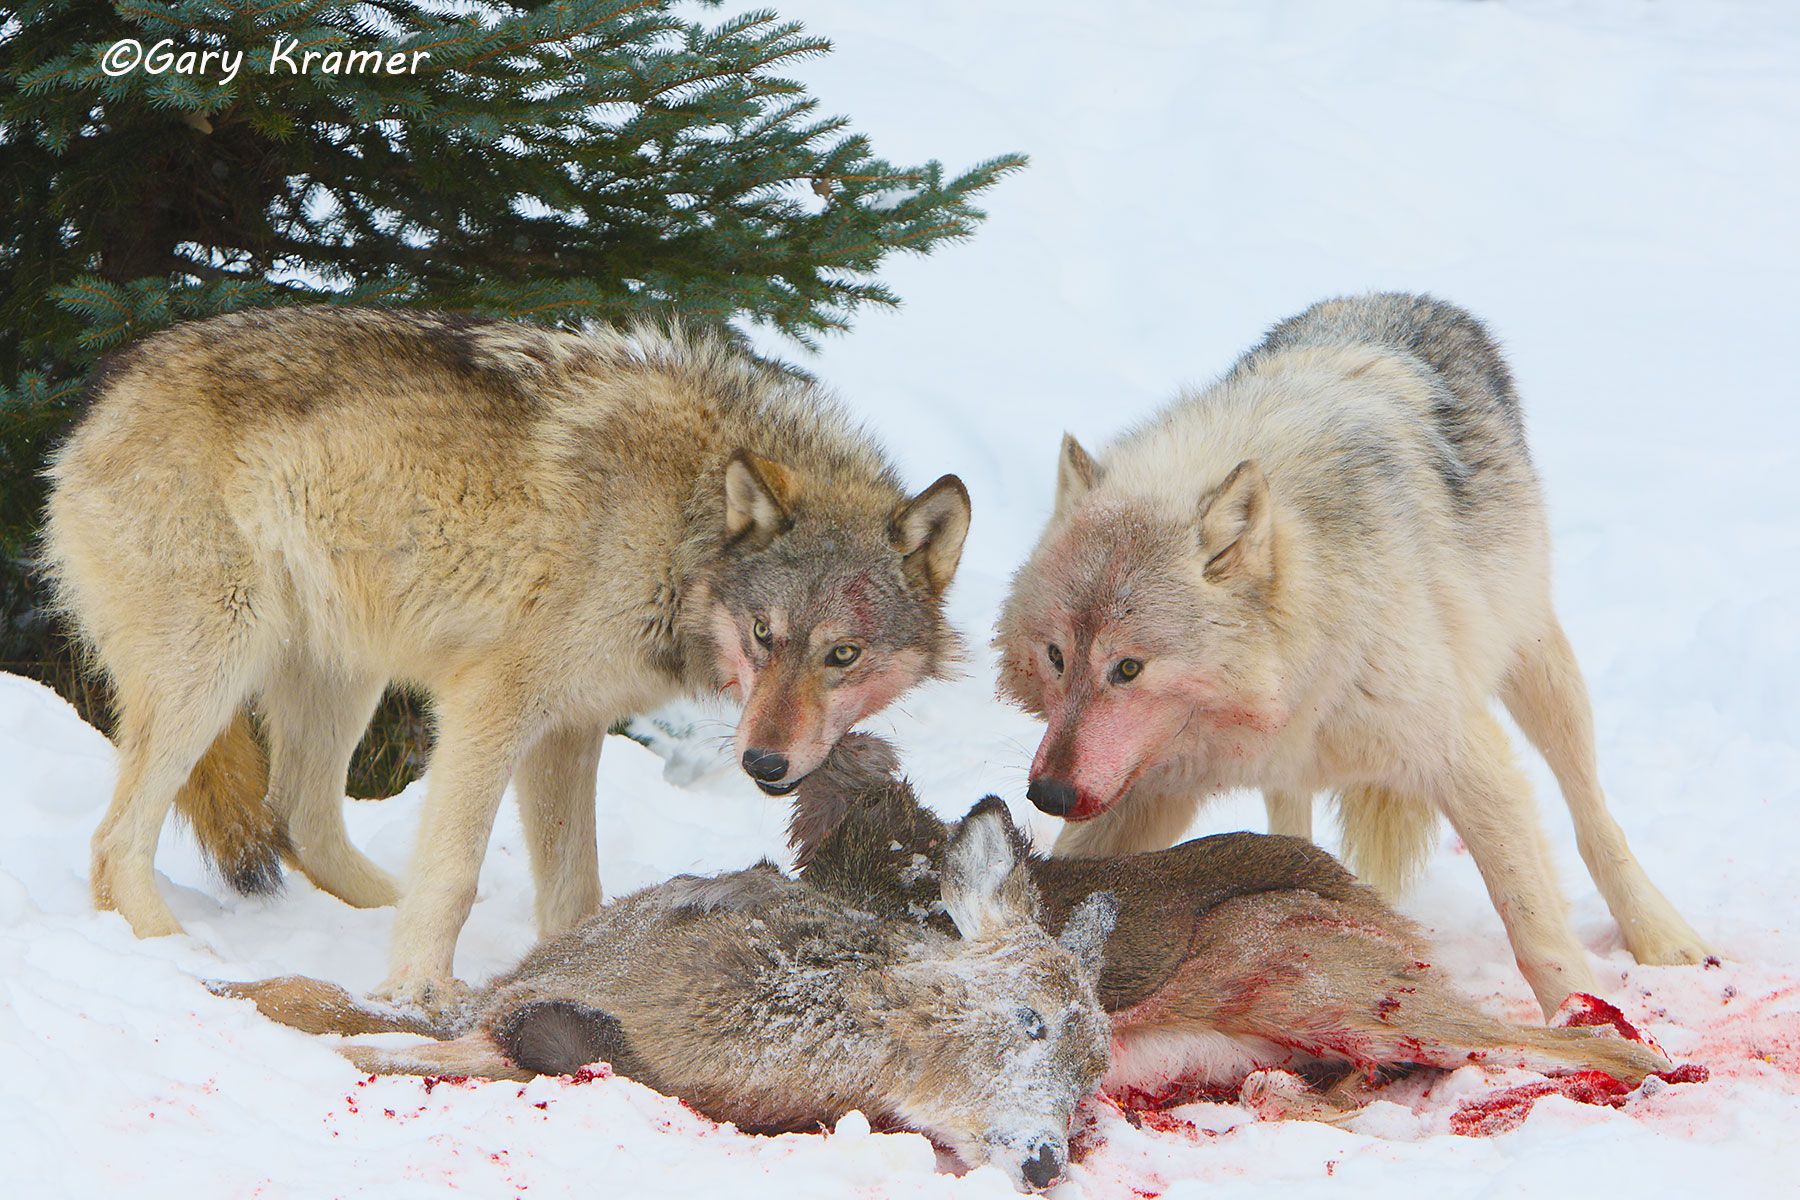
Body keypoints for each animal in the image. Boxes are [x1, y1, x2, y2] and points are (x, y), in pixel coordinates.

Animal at [43, 306, 970, 1009]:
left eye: (842, 654)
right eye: (765, 636)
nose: (765, 762)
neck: (684, 525)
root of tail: (103, 390)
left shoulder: (572, 727)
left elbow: (572, 894)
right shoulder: (496, 702)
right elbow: (453, 870)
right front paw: (419, 992)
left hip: (342, 674)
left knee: (297, 815)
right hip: (217, 667)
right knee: (115, 840)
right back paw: (174, 956)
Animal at [216, 802, 1116, 1192]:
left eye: (1092, 1080)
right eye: (1030, 1019)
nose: (1045, 1159)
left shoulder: (549, 1030)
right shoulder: (532, 993)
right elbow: (338, 1009)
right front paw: (222, 988)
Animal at [993, 292, 1709, 1016]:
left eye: (1128, 668)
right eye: (1056, 656)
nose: (1046, 793)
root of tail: (1395, 295)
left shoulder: (1468, 762)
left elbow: (1537, 932)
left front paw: (1583, 1020)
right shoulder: (1146, 791)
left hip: (1537, 665)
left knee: (1593, 814)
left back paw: (1663, 936)